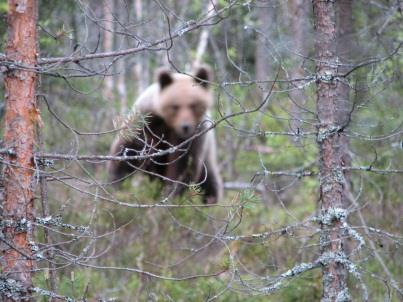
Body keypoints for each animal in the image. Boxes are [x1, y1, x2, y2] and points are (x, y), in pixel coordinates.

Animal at [107, 66, 224, 203]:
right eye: (175, 106)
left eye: (193, 105)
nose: (185, 126)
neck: (168, 124)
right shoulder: (146, 122)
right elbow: (127, 150)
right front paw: (115, 185)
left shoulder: (192, 138)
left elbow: (183, 167)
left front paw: (172, 195)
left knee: (209, 183)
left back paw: (210, 201)